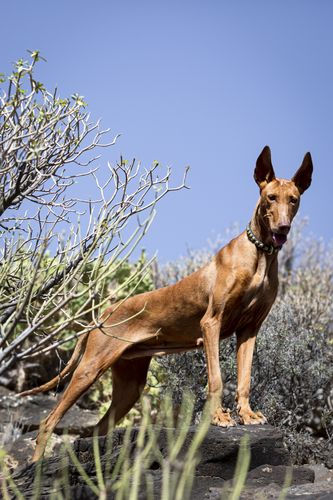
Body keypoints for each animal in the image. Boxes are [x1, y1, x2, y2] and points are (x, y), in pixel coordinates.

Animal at [20, 146, 312, 462]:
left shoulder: (249, 330)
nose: (283, 228)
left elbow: (244, 378)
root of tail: (103, 313)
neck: (259, 254)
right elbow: (217, 378)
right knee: (48, 422)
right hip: (90, 368)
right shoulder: (211, 322)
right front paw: (219, 417)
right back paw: (36, 465)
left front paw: (246, 414)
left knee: (96, 430)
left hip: (129, 385)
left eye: (293, 199)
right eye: (270, 197)